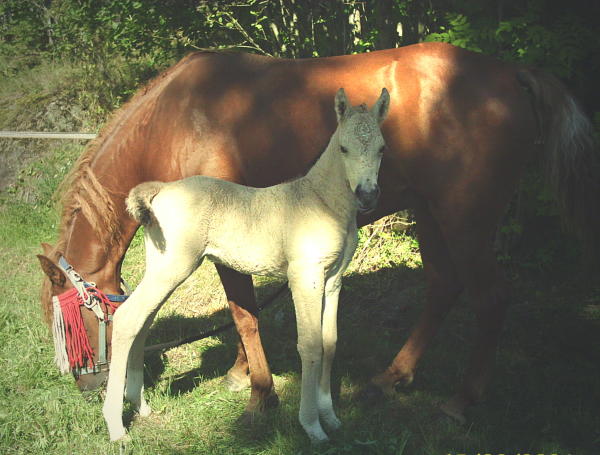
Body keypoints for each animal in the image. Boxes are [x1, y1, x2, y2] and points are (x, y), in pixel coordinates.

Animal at [101, 87, 392, 444]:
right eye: (343, 148)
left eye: (382, 148)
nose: (367, 195)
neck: (321, 202)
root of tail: (161, 190)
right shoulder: (305, 276)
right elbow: (310, 346)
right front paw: (312, 426)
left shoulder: (334, 279)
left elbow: (330, 343)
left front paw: (331, 417)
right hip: (173, 267)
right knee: (127, 318)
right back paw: (116, 426)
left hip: (163, 268)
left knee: (141, 322)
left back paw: (139, 405)